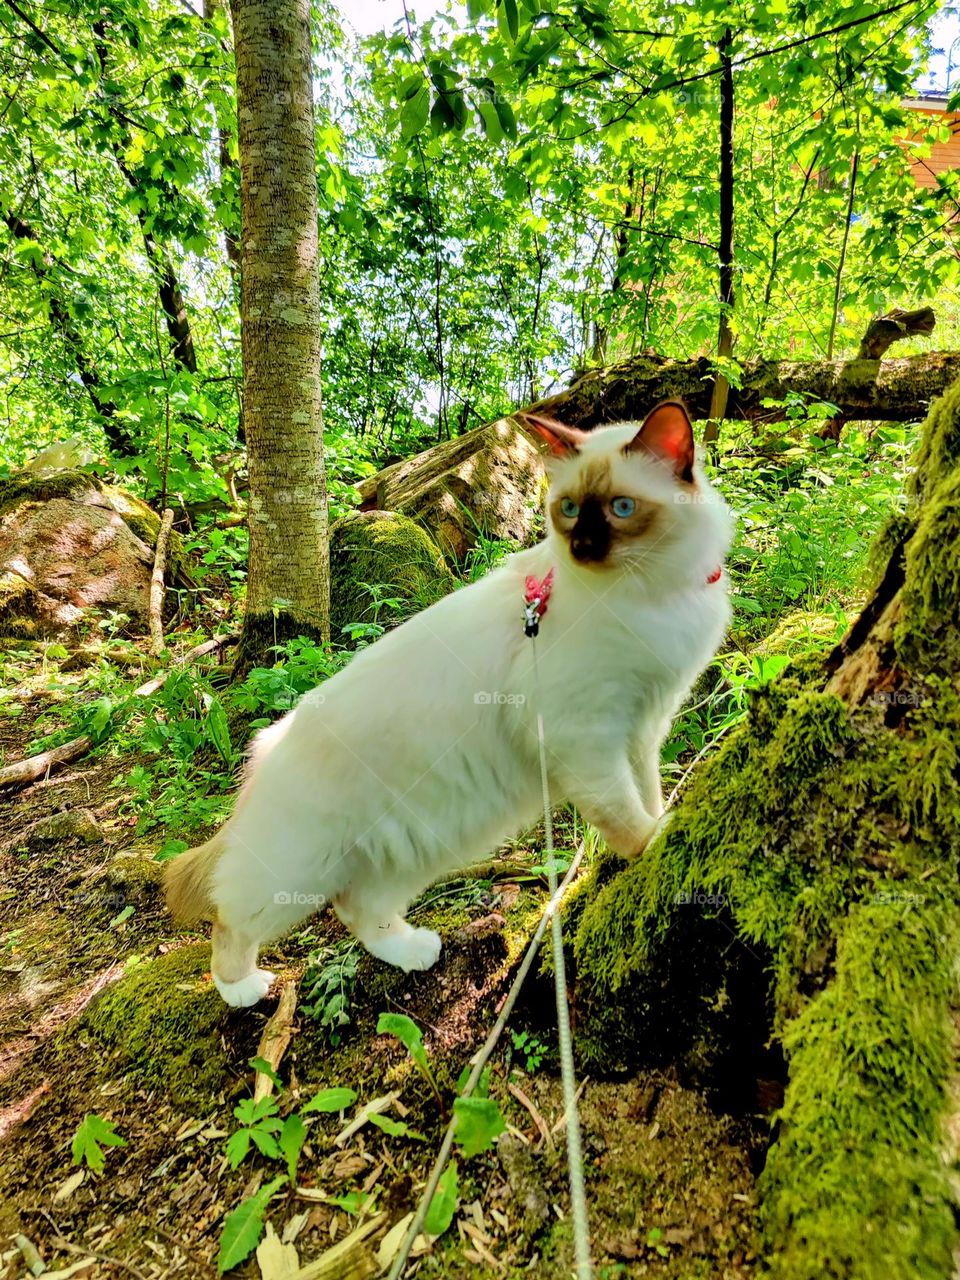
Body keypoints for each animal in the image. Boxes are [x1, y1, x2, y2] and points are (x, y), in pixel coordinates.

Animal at [167, 404, 737, 1003]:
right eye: (569, 510)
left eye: (622, 508)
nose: (581, 549)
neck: (651, 596)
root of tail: (268, 743)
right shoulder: (587, 736)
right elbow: (625, 817)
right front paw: (654, 842)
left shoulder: (642, 728)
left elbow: (647, 794)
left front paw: (662, 820)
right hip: (299, 871)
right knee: (231, 921)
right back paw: (244, 988)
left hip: (417, 849)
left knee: (355, 908)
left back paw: (412, 952)